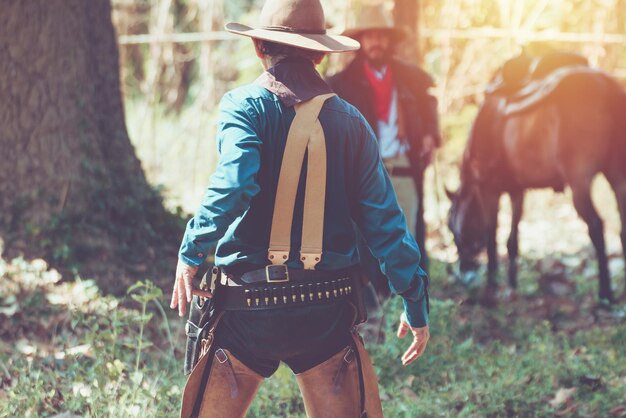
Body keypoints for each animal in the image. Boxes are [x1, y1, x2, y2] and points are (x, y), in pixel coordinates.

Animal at [446, 56, 620, 304]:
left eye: (452, 230)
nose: (464, 272)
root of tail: (608, 86)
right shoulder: (517, 191)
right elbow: (512, 240)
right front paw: (512, 285)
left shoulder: (489, 190)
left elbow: (491, 237)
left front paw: (491, 288)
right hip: (618, 176)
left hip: (580, 184)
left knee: (596, 227)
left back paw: (605, 292)